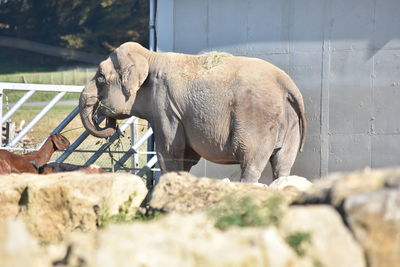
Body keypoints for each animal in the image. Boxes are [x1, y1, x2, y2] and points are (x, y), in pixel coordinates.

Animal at [79, 42, 306, 184]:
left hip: (256, 120)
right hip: (290, 121)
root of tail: (286, 83)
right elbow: (187, 156)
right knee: (283, 163)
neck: (150, 57)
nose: (106, 117)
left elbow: (170, 150)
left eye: (100, 77)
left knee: (251, 161)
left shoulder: (165, 106)